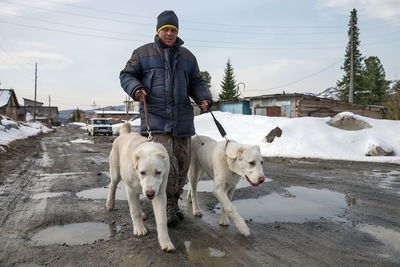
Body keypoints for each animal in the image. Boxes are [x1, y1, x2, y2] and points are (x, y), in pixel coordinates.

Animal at [107, 124, 174, 253]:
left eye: (158, 172)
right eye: (142, 172)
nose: (150, 193)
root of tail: (124, 134)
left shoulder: (160, 194)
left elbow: (161, 219)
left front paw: (165, 241)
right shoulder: (131, 190)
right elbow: (135, 210)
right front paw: (139, 228)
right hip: (116, 174)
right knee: (112, 186)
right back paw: (110, 204)